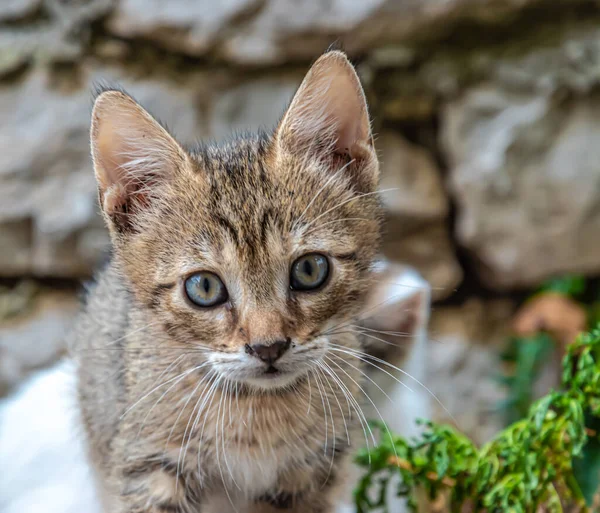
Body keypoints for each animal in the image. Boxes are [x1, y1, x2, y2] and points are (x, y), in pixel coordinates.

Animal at [76, 49, 384, 512]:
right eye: (204, 288)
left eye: (310, 270)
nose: (268, 347)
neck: (258, 412)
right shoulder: (150, 466)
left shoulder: (312, 471)